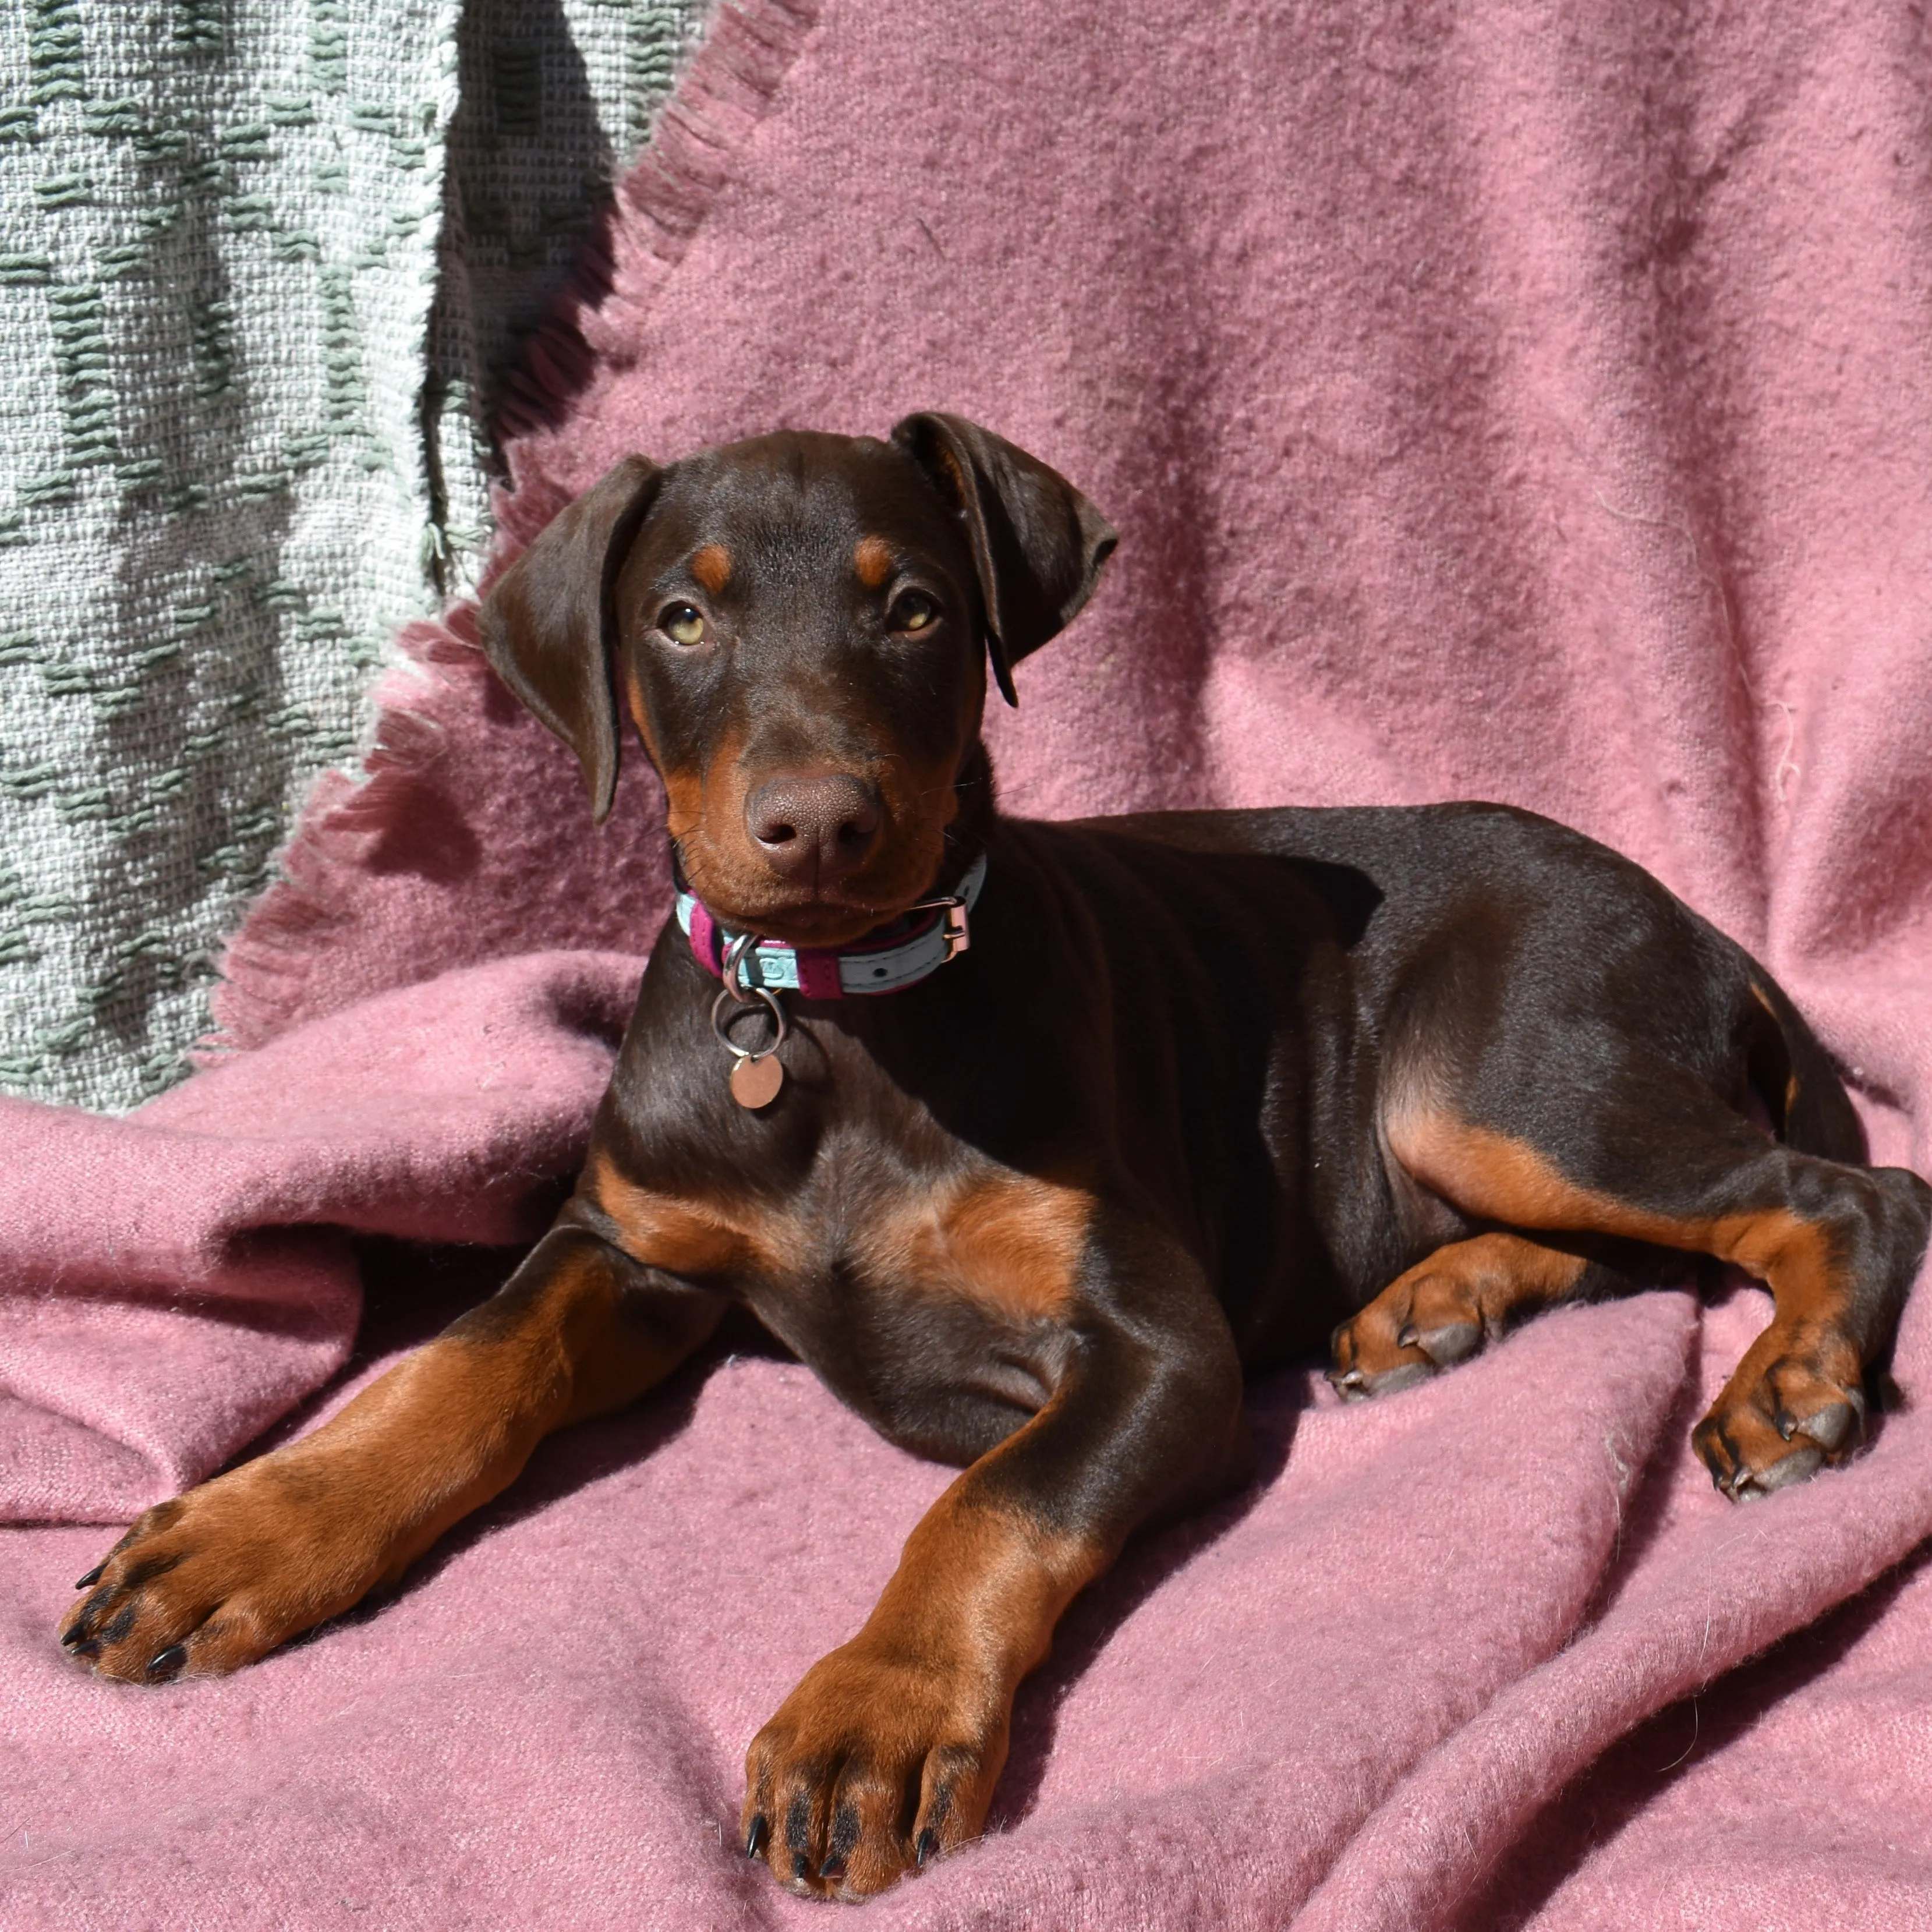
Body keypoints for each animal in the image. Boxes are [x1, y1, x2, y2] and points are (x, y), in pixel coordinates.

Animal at [60, 411, 1932, 1901]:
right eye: (680, 615)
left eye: (915, 610)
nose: (817, 825)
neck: (829, 1023)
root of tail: (1699, 919)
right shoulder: (632, 1242)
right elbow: (458, 1364)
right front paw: (249, 1535)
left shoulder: (1154, 1338)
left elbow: (988, 1501)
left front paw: (868, 1719)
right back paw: (1435, 1302)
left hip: (1496, 1065)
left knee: (1842, 1193)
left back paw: (1788, 1382)